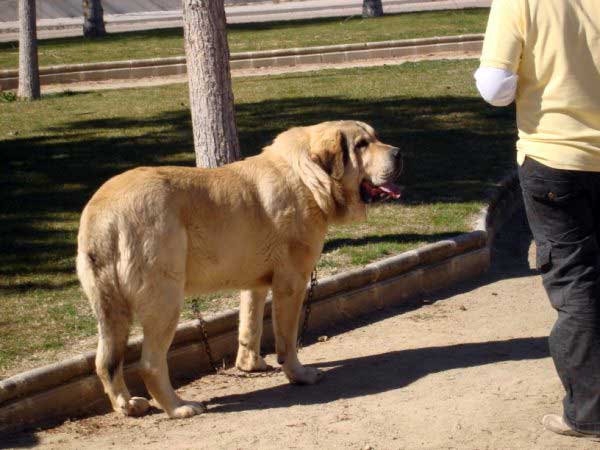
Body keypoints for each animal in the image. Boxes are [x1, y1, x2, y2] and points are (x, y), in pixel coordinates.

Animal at [76, 119, 404, 418]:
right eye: (361, 145)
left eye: (375, 138)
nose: (399, 152)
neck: (310, 177)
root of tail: (104, 211)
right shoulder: (291, 283)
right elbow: (288, 338)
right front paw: (299, 374)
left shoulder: (255, 284)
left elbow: (250, 325)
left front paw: (251, 365)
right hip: (165, 301)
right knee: (150, 364)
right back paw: (179, 407)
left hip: (111, 310)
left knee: (106, 362)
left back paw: (128, 406)